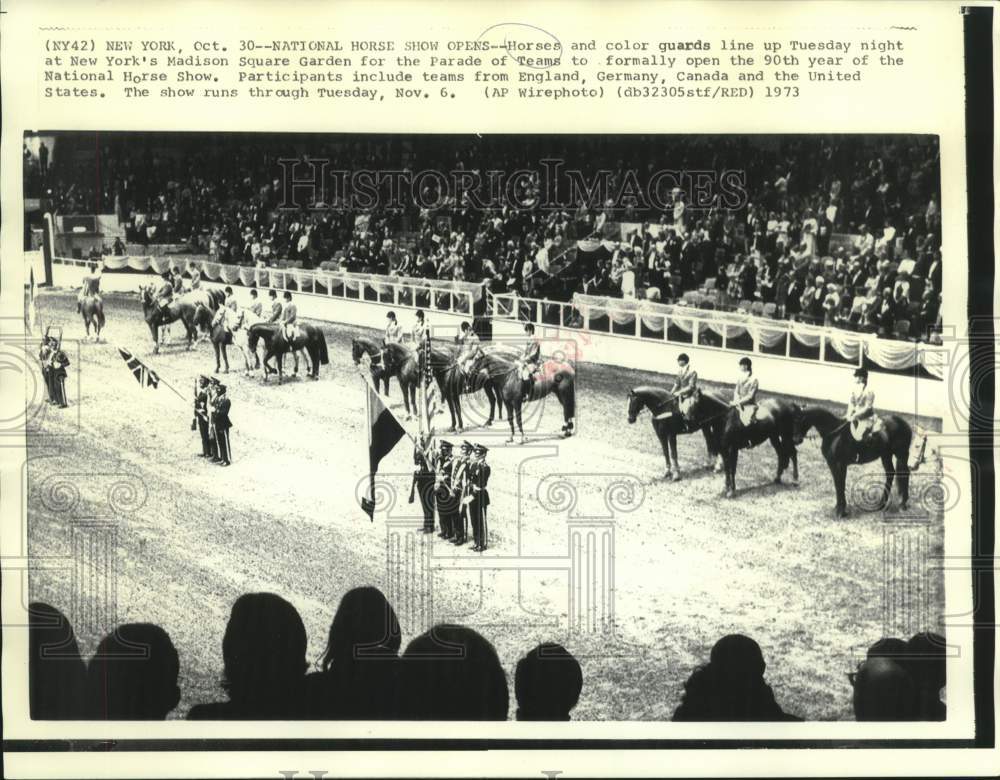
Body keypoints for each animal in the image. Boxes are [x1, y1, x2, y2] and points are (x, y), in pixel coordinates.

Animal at [792, 406, 924, 516]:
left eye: (800, 420)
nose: (796, 440)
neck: (835, 433)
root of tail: (904, 424)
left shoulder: (840, 464)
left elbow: (840, 484)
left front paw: (841, 511)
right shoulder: (833, 464)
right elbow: (837, 484)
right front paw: (838, 508)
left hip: (901, 454)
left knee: (904, 474)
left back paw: (902, 504)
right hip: (886, 455)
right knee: (890, 473)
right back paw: (881, 504)